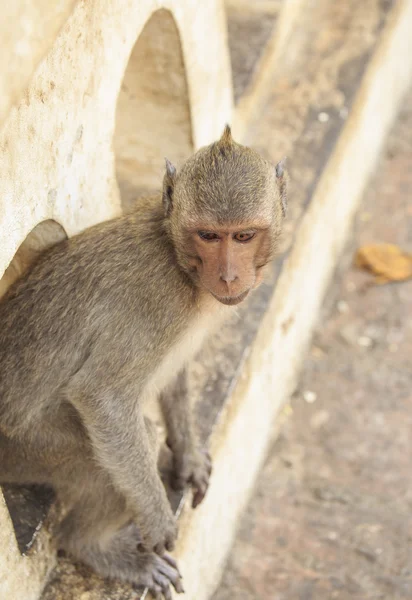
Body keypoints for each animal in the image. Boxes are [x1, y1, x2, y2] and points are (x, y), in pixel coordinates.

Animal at [0, 125, 286, 596]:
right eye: (209, 236)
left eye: (243, 236)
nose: (228, 276)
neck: (179, 261)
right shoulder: (155, 300)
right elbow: (103, 398)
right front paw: (157, 518)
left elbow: (176, 372)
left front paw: (187, 453)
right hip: (28, 449)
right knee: (116, 445)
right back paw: (91, 545)